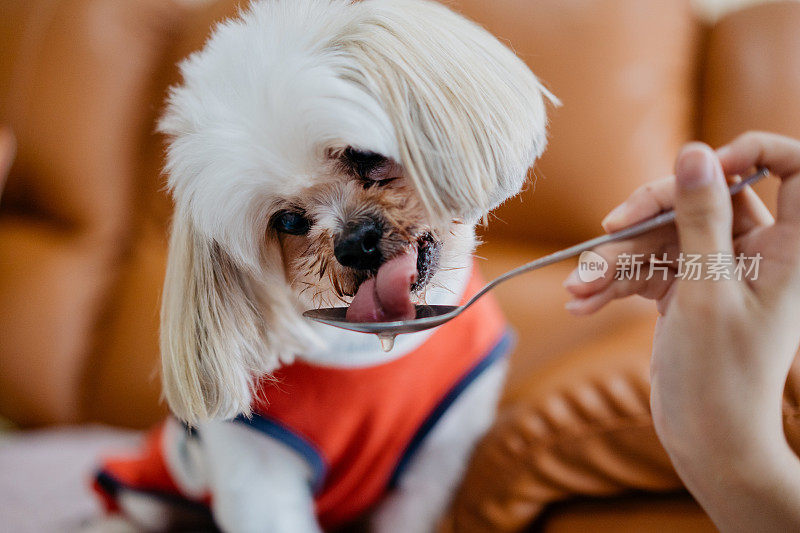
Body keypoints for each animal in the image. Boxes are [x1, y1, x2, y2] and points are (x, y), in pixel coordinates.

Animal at [94, 1, 552, 532]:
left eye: (366, 155)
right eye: (288, 221)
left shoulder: (432, 467)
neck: (367, 350)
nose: (354, 243)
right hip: (152, 487)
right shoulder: (257, 473)